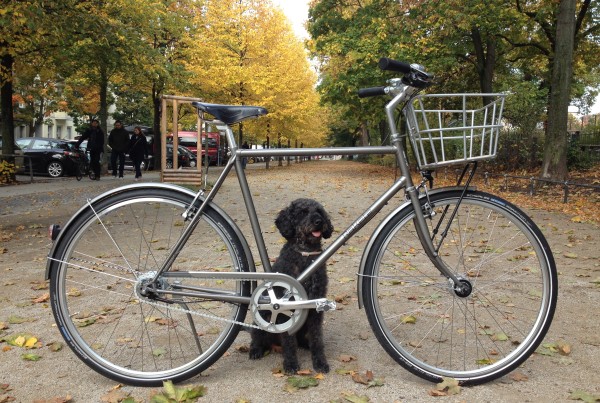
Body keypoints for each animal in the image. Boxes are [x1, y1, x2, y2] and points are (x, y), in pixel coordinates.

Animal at [247, 199, 332, 376]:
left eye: (319, 212)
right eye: (302, 212)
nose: (319, 222)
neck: (305, 256)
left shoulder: (315, 308)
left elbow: (316, 338)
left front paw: (320, 362)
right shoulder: (283, 309)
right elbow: (289, 342)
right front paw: (291, 363)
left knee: (301, 339)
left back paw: (305, 344)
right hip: (262, 318)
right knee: (257, 336)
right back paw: (256, 350)